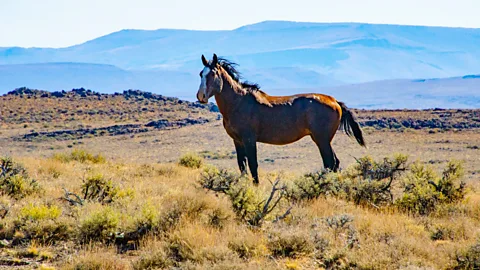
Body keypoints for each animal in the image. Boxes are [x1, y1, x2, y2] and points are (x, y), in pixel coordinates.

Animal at [197, 53, 366, 184]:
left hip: (322, 139)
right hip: (323, 140)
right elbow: (242, 166)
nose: (201, 96)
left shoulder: (249, 139)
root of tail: (335, 101)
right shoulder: (237, 141)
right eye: (201, 73)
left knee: (330, 162)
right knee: (334, 163)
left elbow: (253, 165)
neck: (238, 102)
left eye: (213, 74)